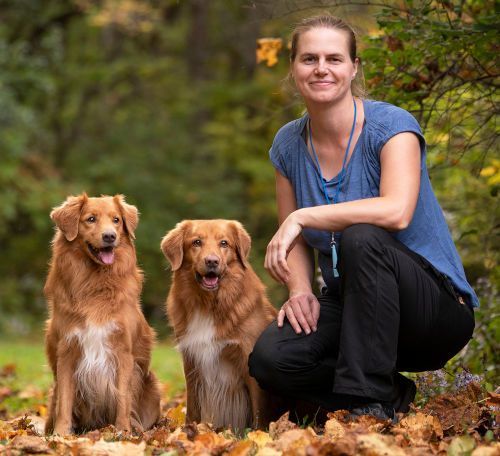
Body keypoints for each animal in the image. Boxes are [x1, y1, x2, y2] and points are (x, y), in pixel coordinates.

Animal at [43, 193, 160, 434]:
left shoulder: (123, 351)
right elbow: (64, 403)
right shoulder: (67, 351)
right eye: (90, 219)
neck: (94, 281)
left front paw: (123, 432)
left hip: (153, 386)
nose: (110, 236)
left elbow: (123, 398)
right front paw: (60, 435)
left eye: (116, 220)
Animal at [160, 219, 278, 432]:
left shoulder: (248, 358)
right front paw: (189, 431)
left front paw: (257, 433)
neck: (209, 304)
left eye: (224, 243)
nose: (212, 261)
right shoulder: (192, 361)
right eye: (196, 242)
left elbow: (259, 408)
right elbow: (192, 406)